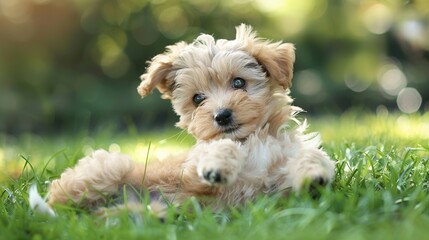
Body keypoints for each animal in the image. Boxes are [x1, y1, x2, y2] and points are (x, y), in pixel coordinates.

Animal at [41, 23, 334, 212]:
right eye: (197, 99)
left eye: (239, 82)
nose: (221, 115)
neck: (253, 138)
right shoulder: (190, 173)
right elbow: (222, 148)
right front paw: (218, 165)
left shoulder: (277, 188)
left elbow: (311, 158)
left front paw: (314, 175)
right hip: (112, 166)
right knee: (60, 202)